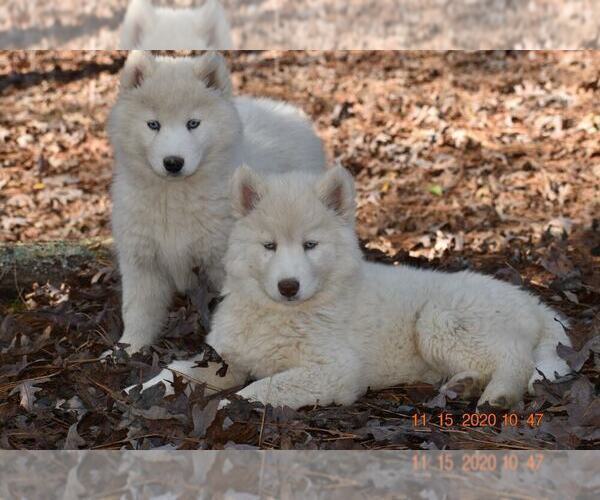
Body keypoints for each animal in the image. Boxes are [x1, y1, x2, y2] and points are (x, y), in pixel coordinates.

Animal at [108, 50, 324, 352]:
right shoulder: (142, 261)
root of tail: (290, 111)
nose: (173, 162)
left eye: (193, 123)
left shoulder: (219, 262)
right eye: (153, 125)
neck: (173, 198)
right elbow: (138, 312)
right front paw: (128, 350)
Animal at [138, 166, 576, 408]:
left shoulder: (335, 370)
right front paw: (140, 388)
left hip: (441, 321)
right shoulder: (225, 355)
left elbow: (263, 387)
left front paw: (233, 404)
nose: (288, 286)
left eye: (310, 245)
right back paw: (464, 385)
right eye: (269, 246)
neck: (284, 313)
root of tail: (532, 301)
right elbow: (177, 371)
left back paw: (498, 394)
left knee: (516, 359)